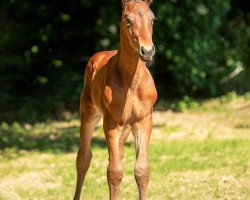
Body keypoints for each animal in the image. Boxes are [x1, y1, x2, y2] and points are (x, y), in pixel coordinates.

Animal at [73, 0, 157, 199]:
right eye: (127, 20)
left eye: (153, 19)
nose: (147, 51)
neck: (131, 83)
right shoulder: (111, 123)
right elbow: (114, 172)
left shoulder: (144, 120)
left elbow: (142, 170)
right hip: (89, 113)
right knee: (84, 157)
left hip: (125, 128)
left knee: (118, 154)